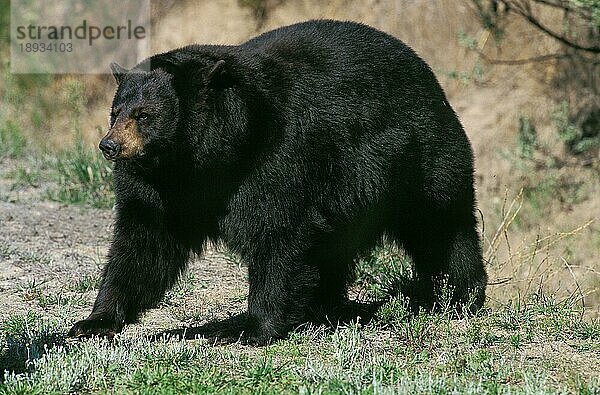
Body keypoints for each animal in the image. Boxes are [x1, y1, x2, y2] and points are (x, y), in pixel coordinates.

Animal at [68, 20, 486, 344]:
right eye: (115, 112)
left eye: (144, 115)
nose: (109, 146)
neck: (200, 160)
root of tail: (430, 77)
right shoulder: (159, 188)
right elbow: (143, 241)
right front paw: (94, 321)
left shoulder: (280, 153)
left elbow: (279, 228)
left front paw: (252, 327)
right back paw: (327, 306)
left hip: (421, 159)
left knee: (442, 227)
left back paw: (459, 296)